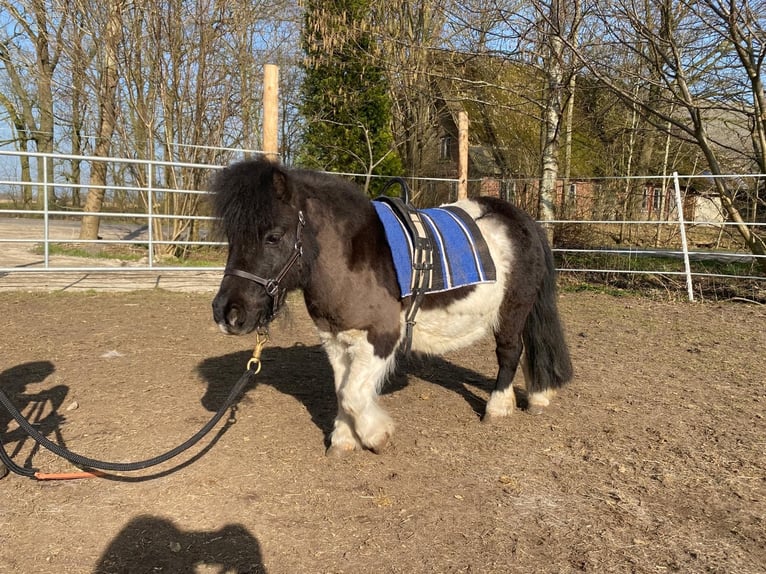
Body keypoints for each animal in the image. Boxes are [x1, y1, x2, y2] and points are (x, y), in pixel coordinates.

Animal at [213, 159, 572, 460]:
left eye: (273, 236)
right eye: (232, 236)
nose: (227, 312)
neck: (349, 260)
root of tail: (520, 219)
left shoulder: (381, 337)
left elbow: (353, 395)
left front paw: (377, 435)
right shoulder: (336, 339)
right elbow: (342, 390)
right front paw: (344, 440)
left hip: (513, 310)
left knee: (510, 352)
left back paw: (498, 407)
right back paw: (537, 396)